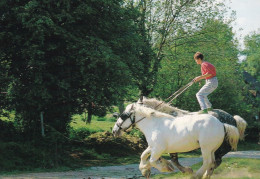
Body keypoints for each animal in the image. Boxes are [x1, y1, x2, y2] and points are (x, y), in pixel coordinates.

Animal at [112, 103, 240, 178]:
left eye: (123, 115)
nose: (114, 131)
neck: (154, 125)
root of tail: (222, 124)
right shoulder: (153, 147)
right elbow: (143, 156)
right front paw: (144, 170)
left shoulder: (158, 149)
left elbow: (153, 161)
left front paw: (166, 167)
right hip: (212, 149)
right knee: (212, 163)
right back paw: (204, 176)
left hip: (205, 148)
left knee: (208, 162)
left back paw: (196, 175)